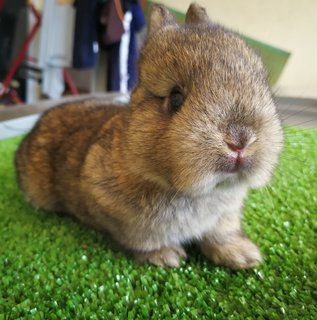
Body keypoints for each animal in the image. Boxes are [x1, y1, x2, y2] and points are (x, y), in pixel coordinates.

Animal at [14, 3, 282, 268]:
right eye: (175, 98)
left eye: (262, 84)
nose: (240, 139)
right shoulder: (126, 220)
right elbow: (145, 240)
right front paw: (167, 256)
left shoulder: (225, 216)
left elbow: (221, 234)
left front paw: (244, 255)